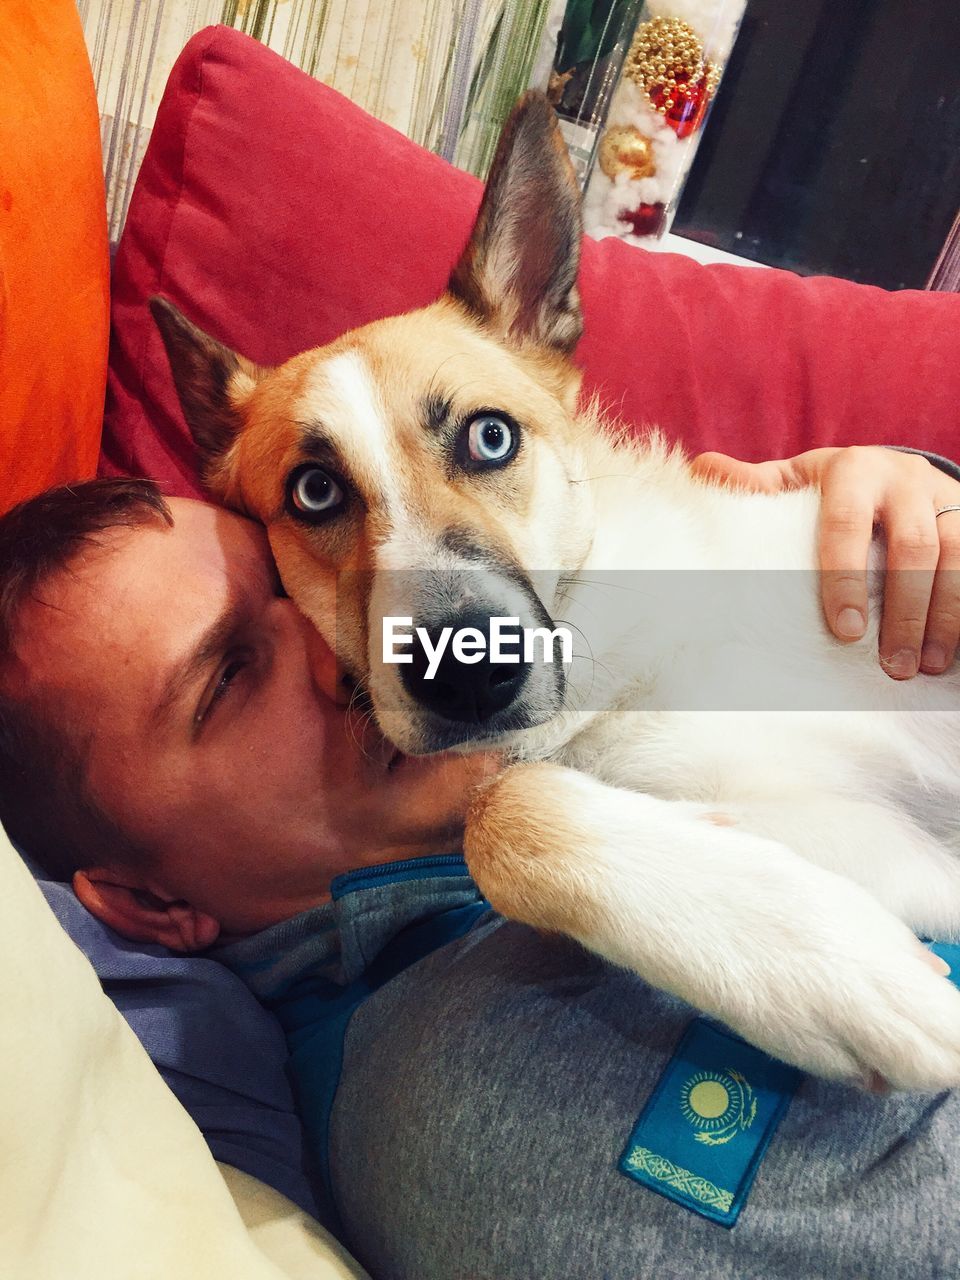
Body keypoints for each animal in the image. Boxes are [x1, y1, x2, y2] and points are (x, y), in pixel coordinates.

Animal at [150, 92, 960, 1090]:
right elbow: (502, 814)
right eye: (314, 492)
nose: (465, 675)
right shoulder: (896, 853)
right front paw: (842, 973)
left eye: (490, 438)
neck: (633, 662)